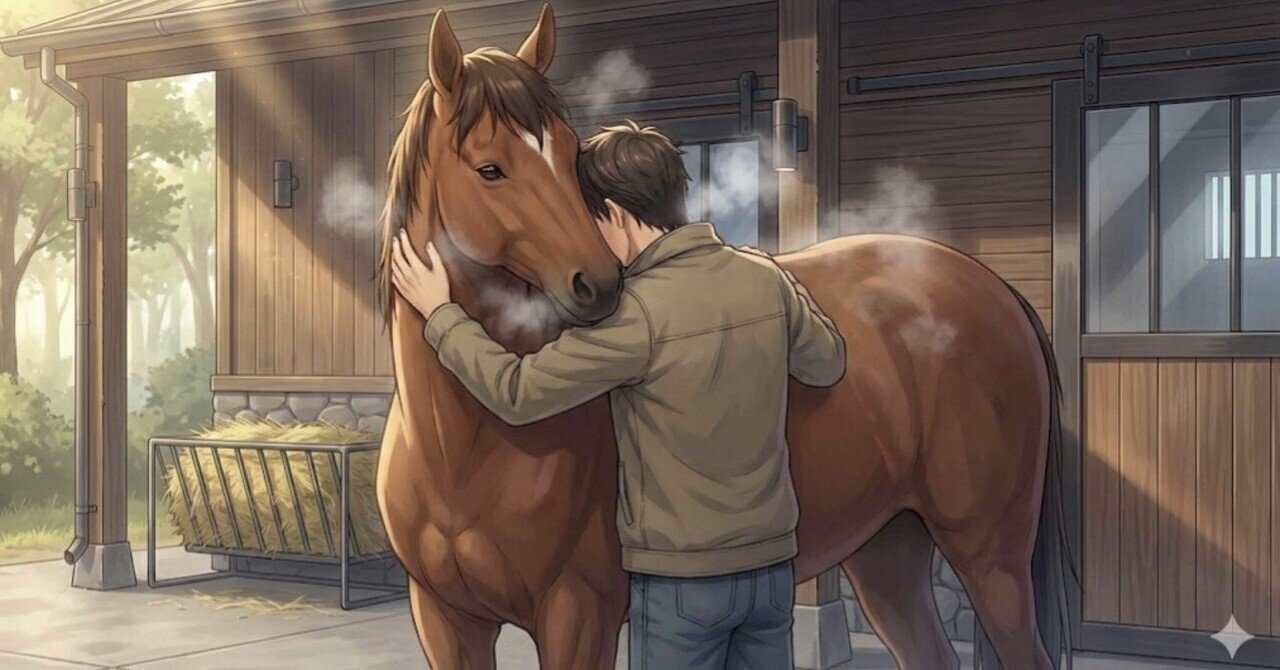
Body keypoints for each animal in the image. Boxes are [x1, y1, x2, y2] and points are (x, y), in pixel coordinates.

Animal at [375, 5, 1071, 670]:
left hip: (989, 554)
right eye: (490, 168)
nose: (599, 285)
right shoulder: (445, 620)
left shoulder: (577, 612)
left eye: (570, 153)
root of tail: (995, 289)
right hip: (887, 550)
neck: (466, 445)